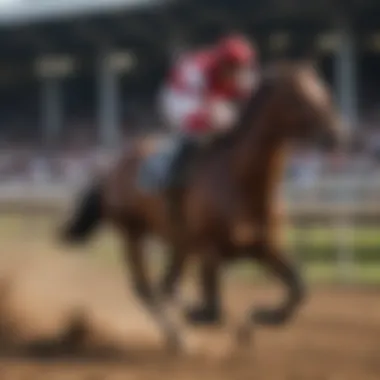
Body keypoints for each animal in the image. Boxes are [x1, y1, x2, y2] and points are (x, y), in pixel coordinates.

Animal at [60, 61, 346, 350]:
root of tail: (111, 167)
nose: (335, 134)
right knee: (148, 289)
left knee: (166, 285)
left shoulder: (265, 247)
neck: (241, 181)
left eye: (323, 91)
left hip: (179, 241)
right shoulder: (210, 250)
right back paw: (178, 335)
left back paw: (181, 330)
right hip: (133, 233)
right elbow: (213, 311)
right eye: (298, 98)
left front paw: (257, 319)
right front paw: (214, 318)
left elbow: (298, 289)